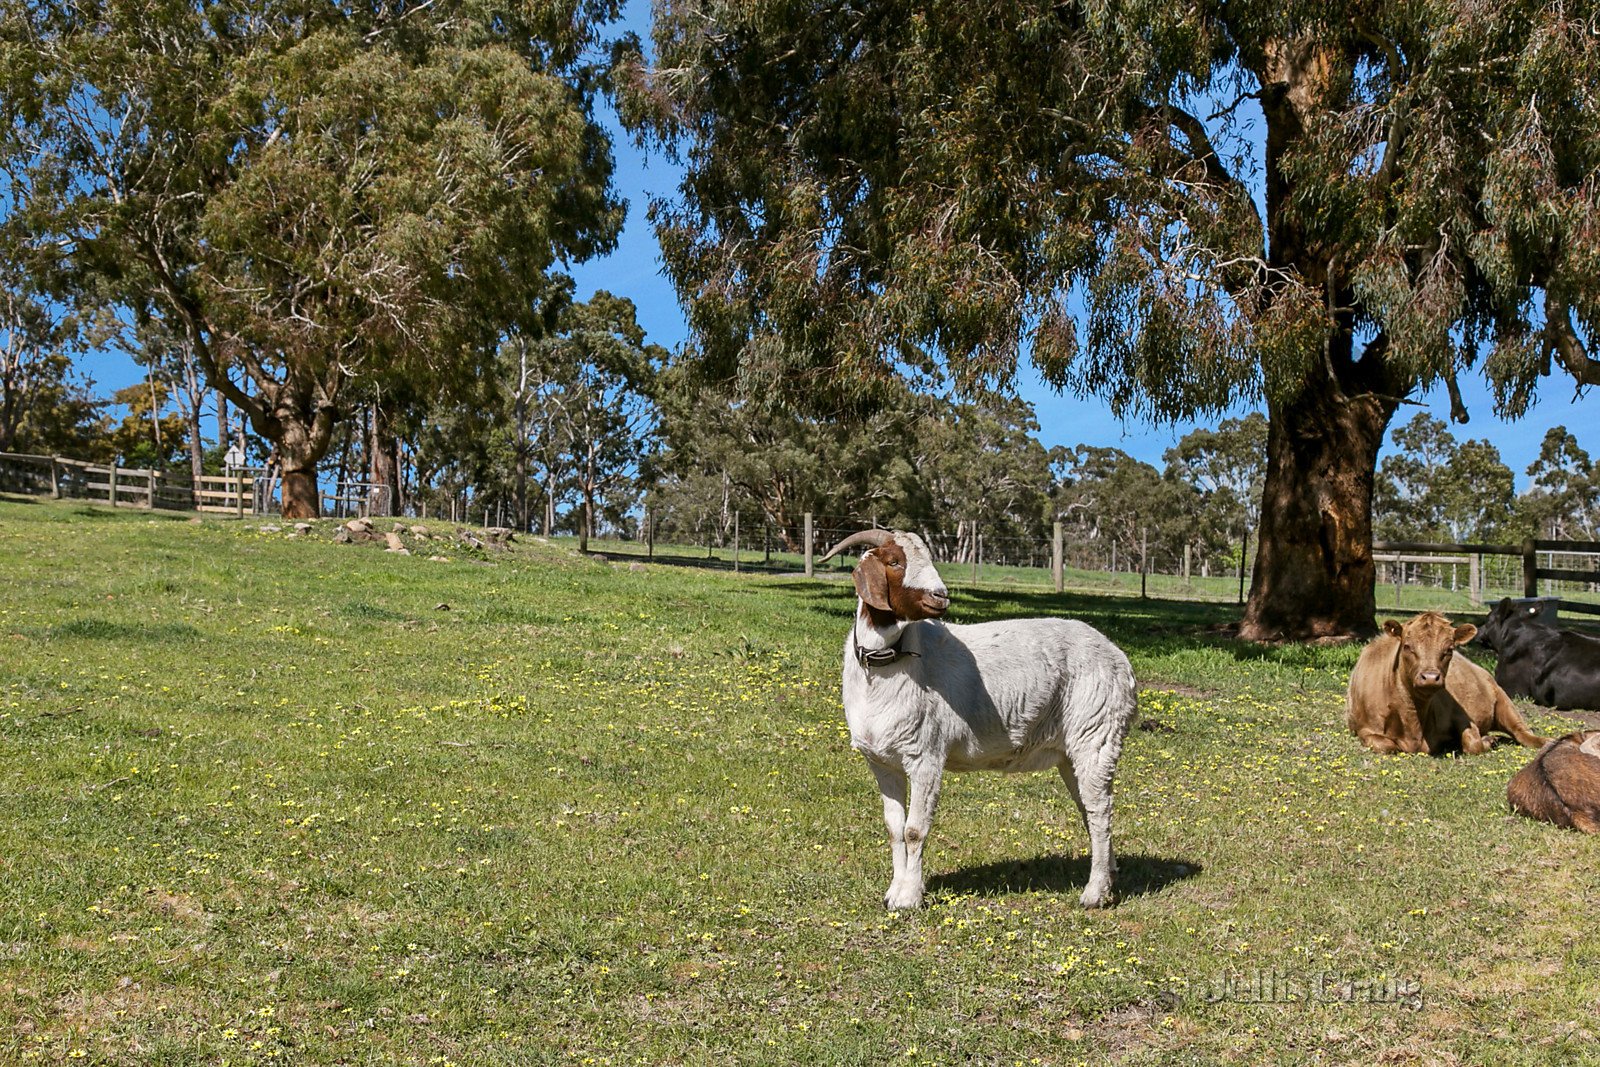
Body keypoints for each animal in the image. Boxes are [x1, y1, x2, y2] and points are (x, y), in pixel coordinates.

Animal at [825, 527, 1139, 908]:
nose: (940, 596)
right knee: (1090, 810)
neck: (888, 664)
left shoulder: (926, 756)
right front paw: (893, 893)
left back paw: (1094, 893)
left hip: (1097, 732)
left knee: (1100, 810)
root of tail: (1121, 661)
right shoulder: (882, 762)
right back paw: (1108, 878)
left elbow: (915, 830)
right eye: (894, 561)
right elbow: (894, 829)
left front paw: (910, 896)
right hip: (1072, 751)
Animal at [1337, 614, 1548, 755]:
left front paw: (1486, 741)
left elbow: (1473, 743)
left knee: (1522, 732)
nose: (1430, 677)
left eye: (1449, 649)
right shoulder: (1363, 728)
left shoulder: (1460, 713)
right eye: (1407, 646)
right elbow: (1386, 745)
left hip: (1503, 699)